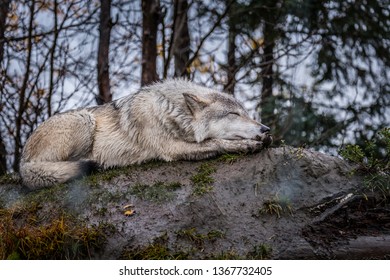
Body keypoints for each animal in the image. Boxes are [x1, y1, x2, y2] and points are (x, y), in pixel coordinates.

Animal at [19, 78, 272, 190]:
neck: (170, 109)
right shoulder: (172, 148)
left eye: (247, 114)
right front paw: (248, 145)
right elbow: (217, 142)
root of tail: (22, 164)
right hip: (84, 120)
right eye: (233, 114)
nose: (265, 128)